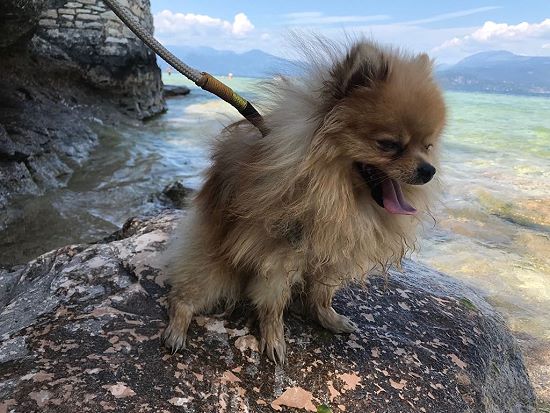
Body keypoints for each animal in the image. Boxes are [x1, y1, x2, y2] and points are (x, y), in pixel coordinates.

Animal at [163, 38, 446, 364]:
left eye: (428, 146)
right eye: (388, 145)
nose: (428, 170)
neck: (335, 192)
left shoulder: (332, 255)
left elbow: (322, 295)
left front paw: (327, 318)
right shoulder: (277, 256)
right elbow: (273, 304)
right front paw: (274, 339)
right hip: (213, 271)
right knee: (182, 297)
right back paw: (176, 329)